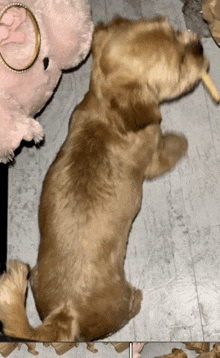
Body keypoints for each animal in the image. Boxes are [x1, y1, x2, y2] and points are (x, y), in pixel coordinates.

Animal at [0, 16, 209, 342]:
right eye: (179, 66)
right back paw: (136, 300)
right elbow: (169, 151)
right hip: (117, 303)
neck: (107, 111)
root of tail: (63, 314)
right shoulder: (152, 158)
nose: (199, 46)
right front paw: (179, 141)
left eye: (173, 30)